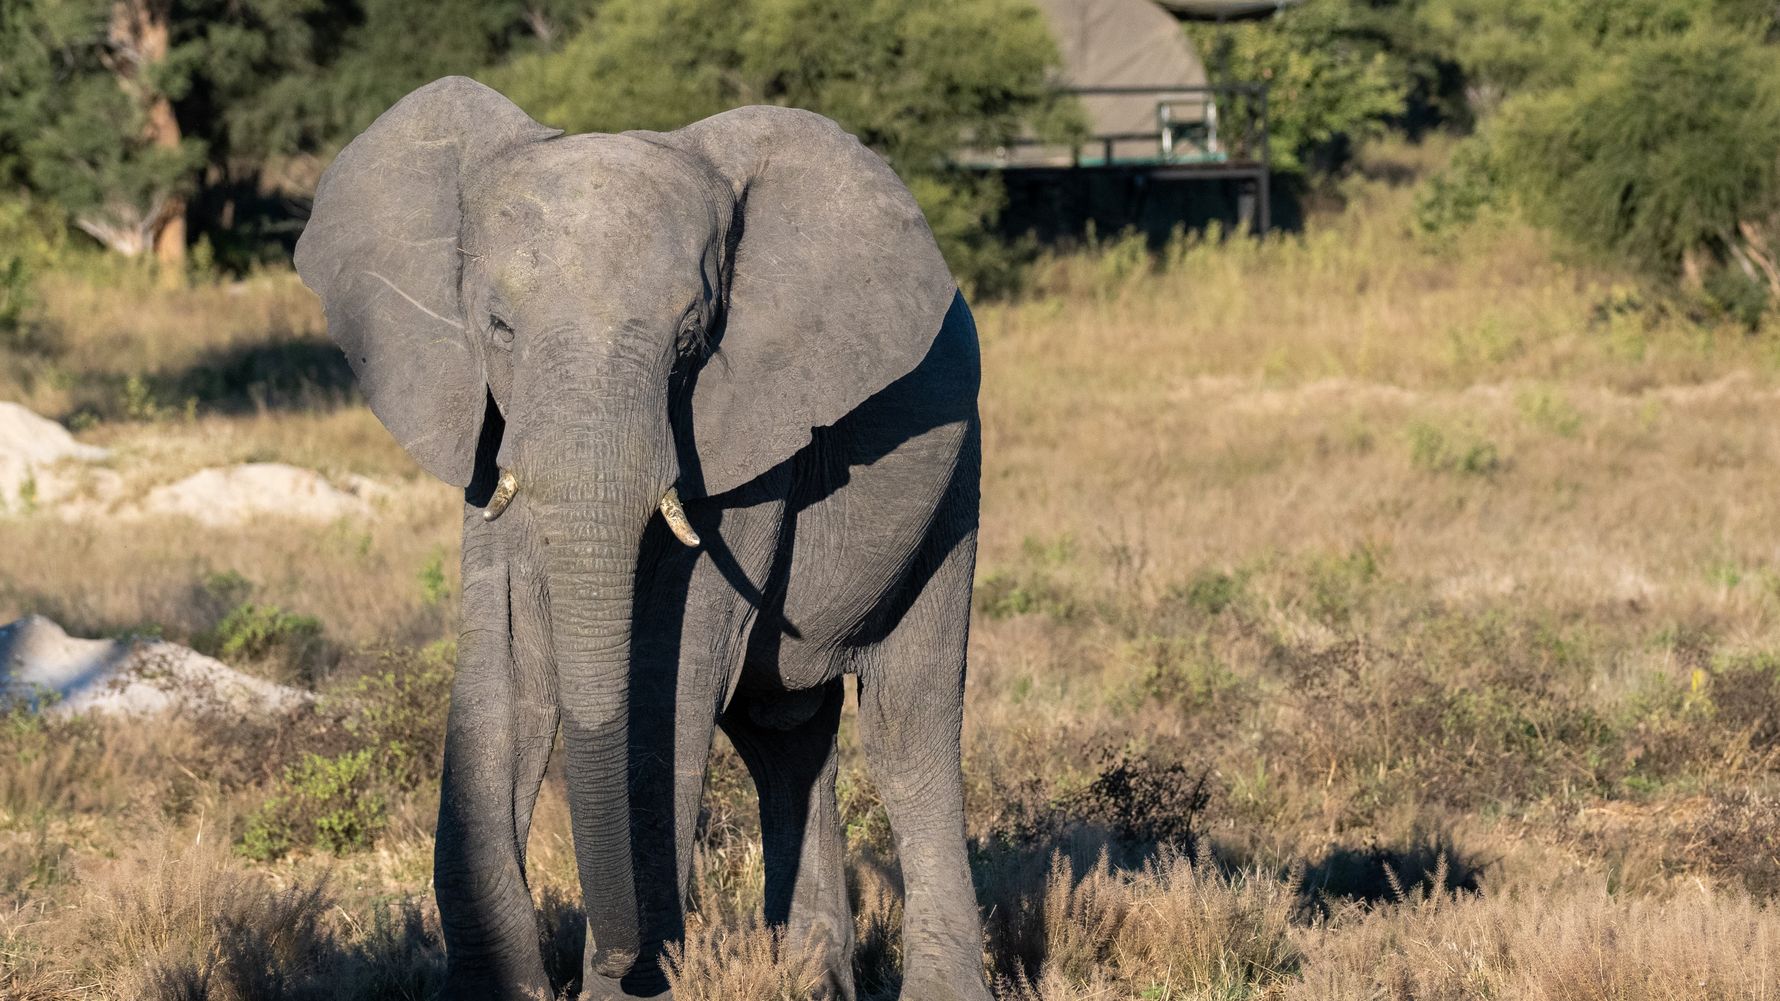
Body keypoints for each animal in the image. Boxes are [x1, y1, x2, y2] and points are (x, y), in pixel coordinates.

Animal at [293, 77, 988, 1001]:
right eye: (498, 326)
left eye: (692, 338)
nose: (628, 960)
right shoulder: (488, 430)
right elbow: (505, 671)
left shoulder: (747, 436)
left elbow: (672, 673)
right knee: (787, 738)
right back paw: (807, 980)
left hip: (952, 489)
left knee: (909, 729)